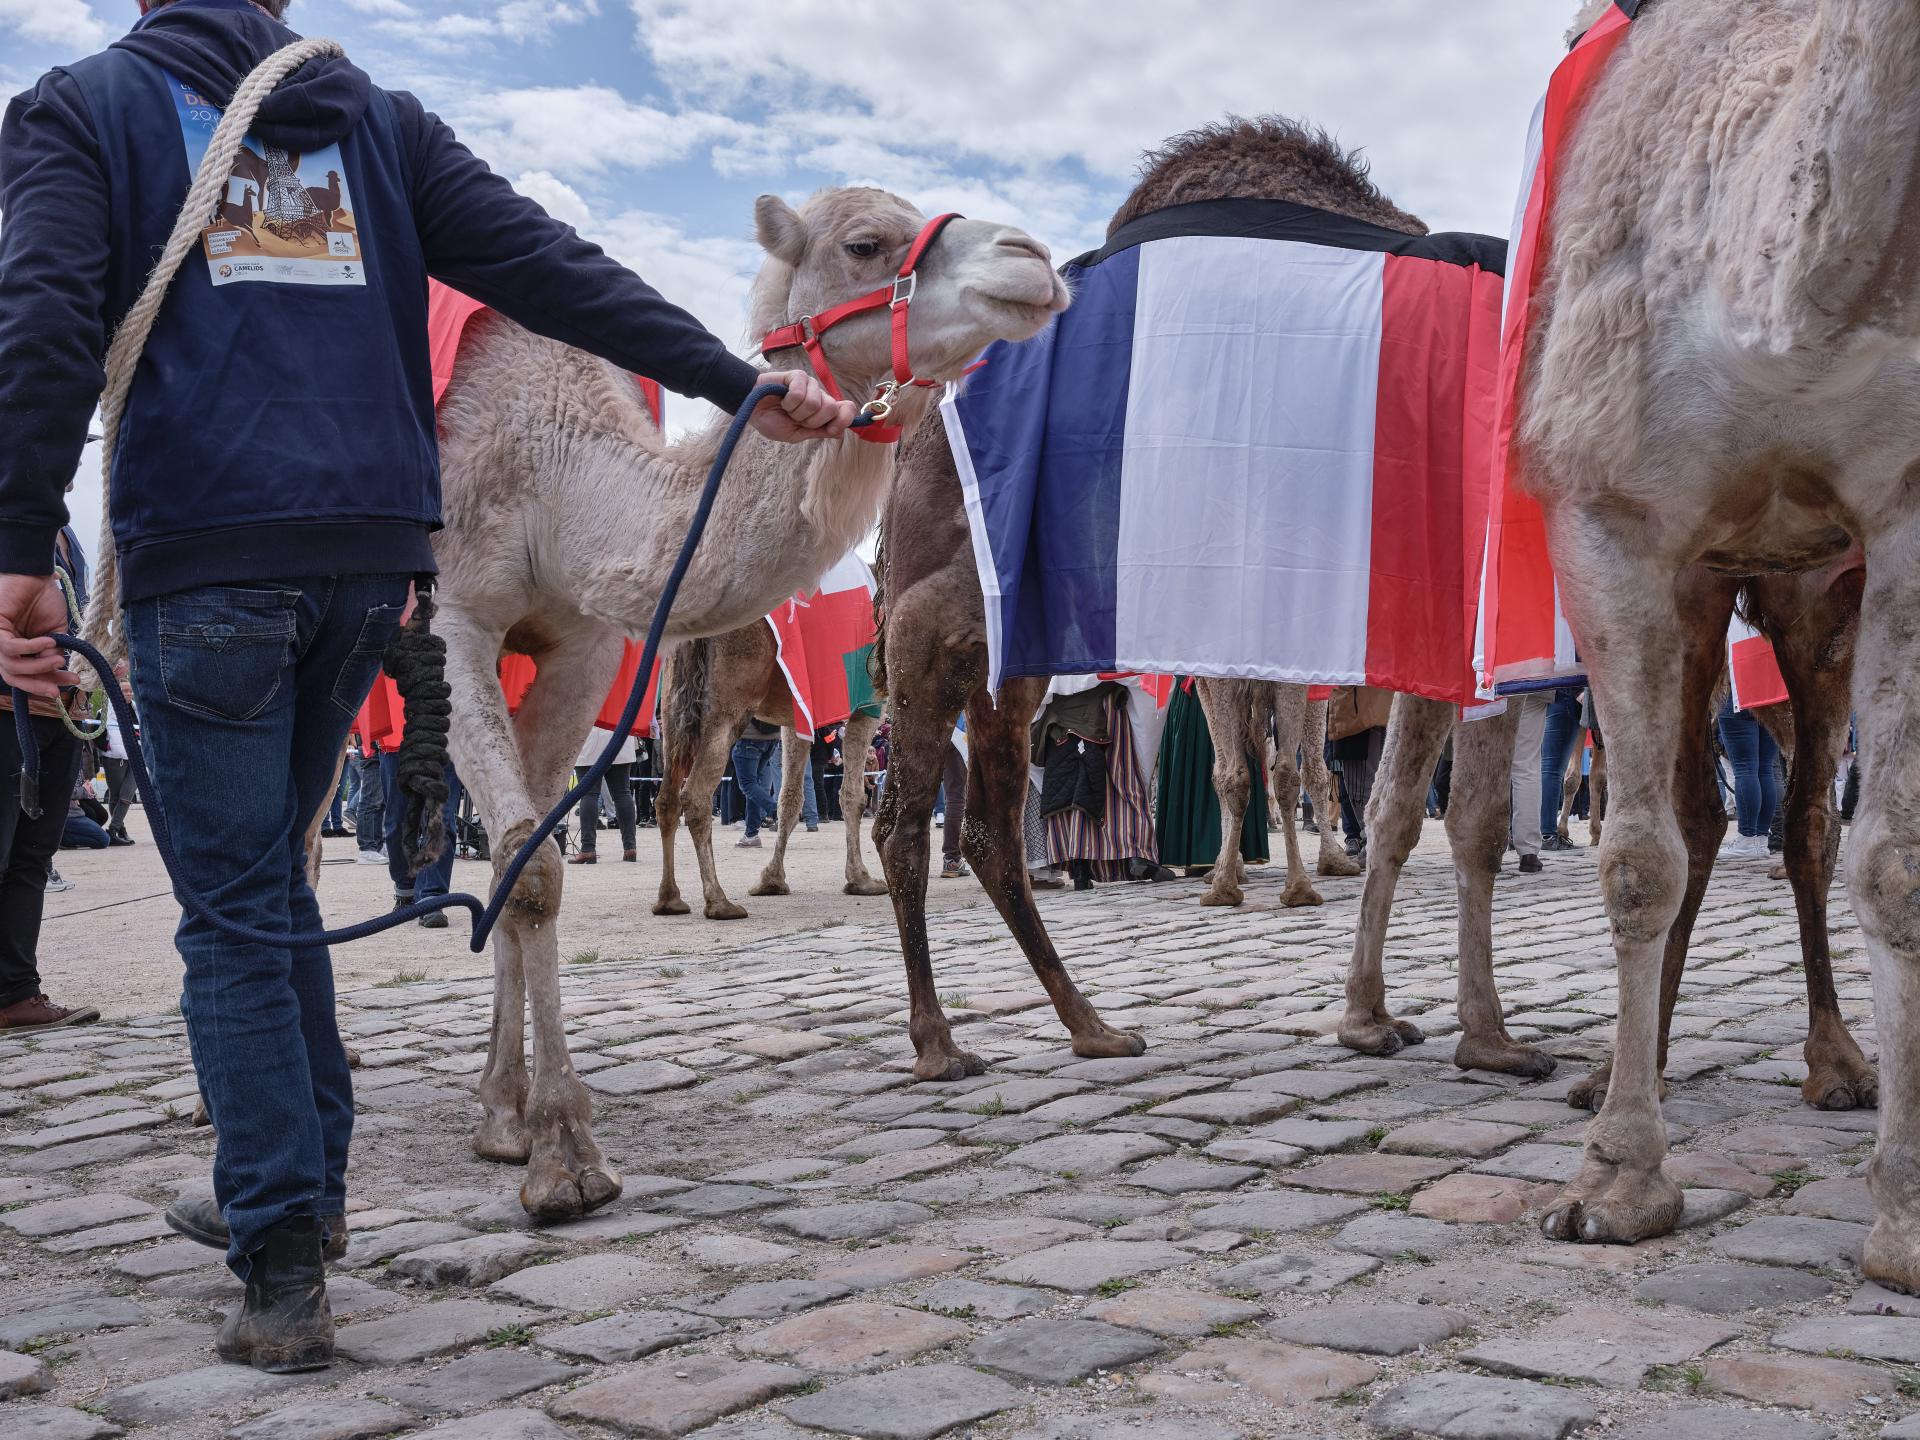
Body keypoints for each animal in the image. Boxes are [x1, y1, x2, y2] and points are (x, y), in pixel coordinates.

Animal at [645, 622, 883, 925]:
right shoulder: (868, 700)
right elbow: (853, 795)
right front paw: (861, 879)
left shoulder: (800, 712)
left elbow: (790, 797)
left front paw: (772, 880)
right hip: (727, 704)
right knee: (696, 797)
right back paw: (719, 902)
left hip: (673, 708)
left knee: (667, 799)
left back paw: (669, 899)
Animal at [871, 115, 1428, 1082]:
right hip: (927, 634)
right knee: (906, 822)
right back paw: (939, 1042)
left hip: (1003, 663)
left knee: (986, 831)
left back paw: (1092, 1025)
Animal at [1497, 0, 1920, 1274]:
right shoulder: (1609, 509)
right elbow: (1637, 857)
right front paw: (1615, 1185)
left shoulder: (1902, 504)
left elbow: (1889, 857)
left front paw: (1903, 1219)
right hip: (1694, 588)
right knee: (1686, 811)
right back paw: (1613, 1070)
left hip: (1806, 595)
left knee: (1804, 824)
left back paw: (1839, 1064)